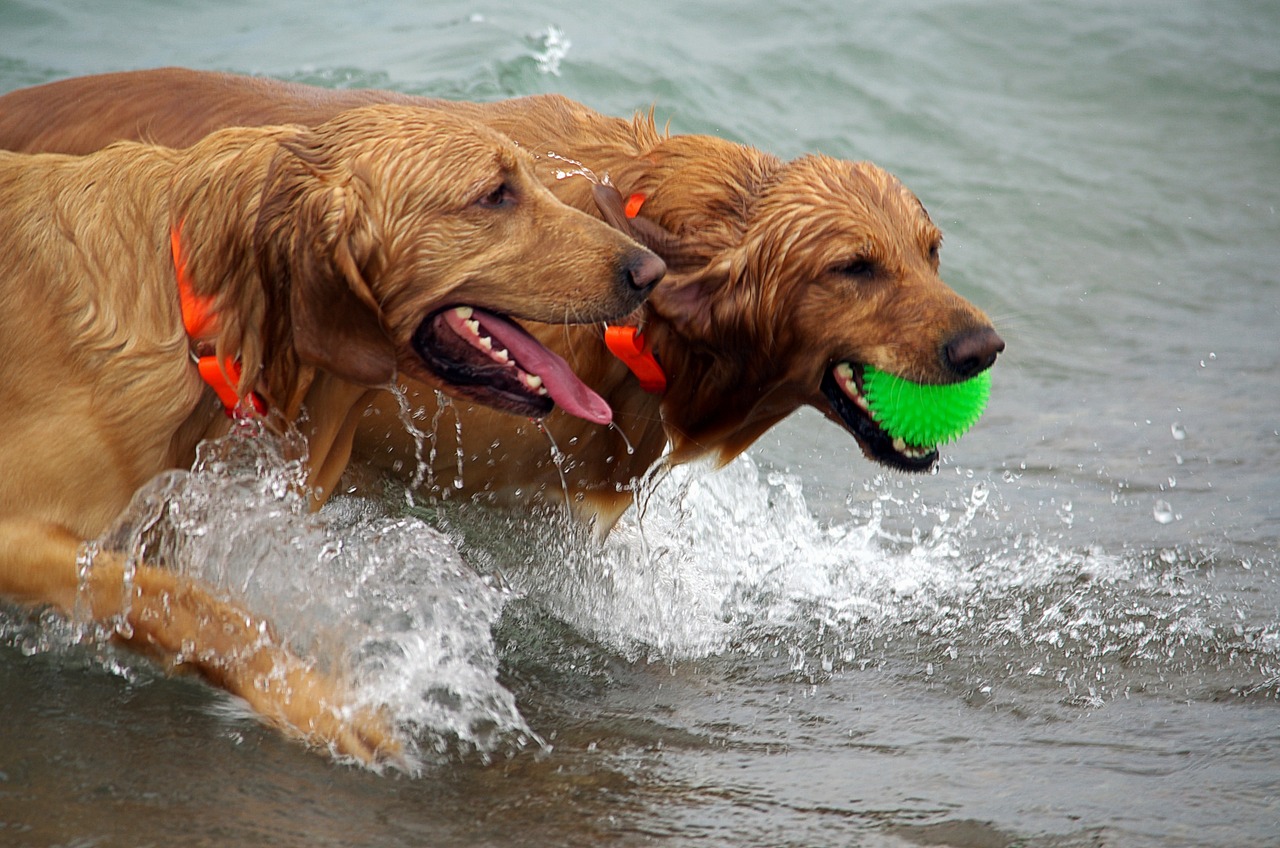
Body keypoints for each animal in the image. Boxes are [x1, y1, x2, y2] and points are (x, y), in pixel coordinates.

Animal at [0, 104, 660, 763]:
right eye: (496, 194)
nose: (650, 270)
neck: (207, 325)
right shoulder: (25, 533)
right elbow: (186, 601)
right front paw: (315, 702)